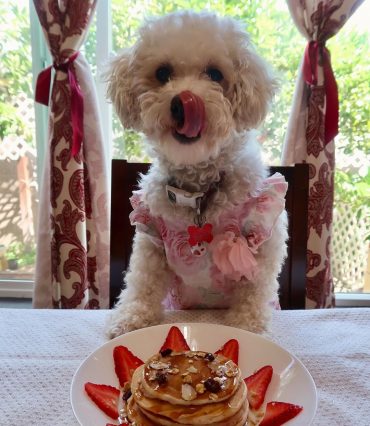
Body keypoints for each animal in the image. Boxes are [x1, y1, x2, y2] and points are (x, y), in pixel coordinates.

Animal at [105, 10, 288, 338]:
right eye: (162, 73)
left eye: (215, 74)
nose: (183, 102)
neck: (198, 191)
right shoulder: (150, 237)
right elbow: (143, 280)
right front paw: (131, 317)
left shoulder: (266, 232)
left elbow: (254, 287)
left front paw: (247, 325)